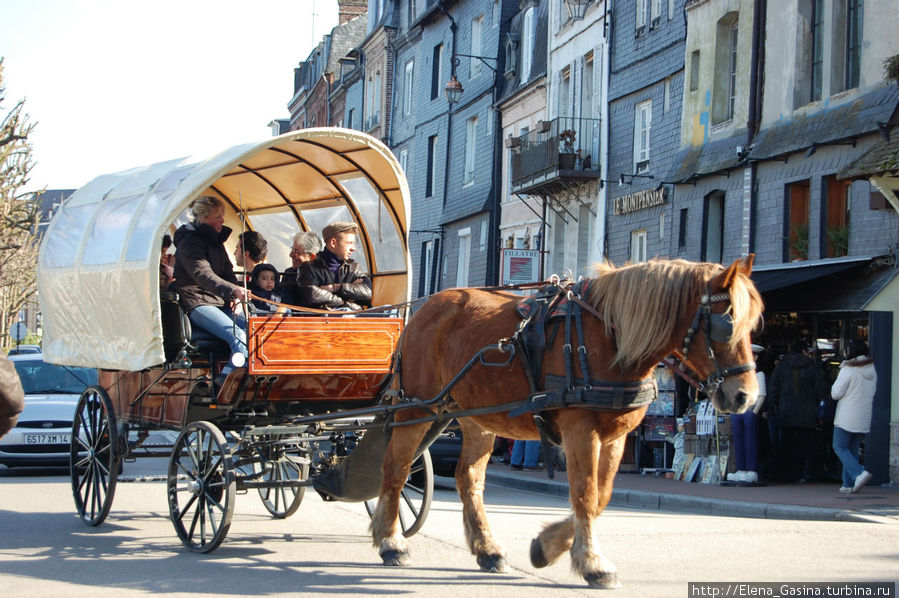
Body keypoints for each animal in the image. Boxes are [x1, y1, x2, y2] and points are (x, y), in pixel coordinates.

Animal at [370, 256, 764, 592]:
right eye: (726, 320)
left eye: (752, 323)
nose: (745, 396)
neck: (609, 338)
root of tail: (424, 310)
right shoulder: (580, 430)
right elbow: (585, 494)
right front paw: (592, 563)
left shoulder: (616, 436)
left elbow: (601, 495)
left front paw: (547, 546)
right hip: (415, 408)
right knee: (396, 468)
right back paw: (391, 542)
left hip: (476, 417)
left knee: (468, 479)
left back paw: (488, 549)